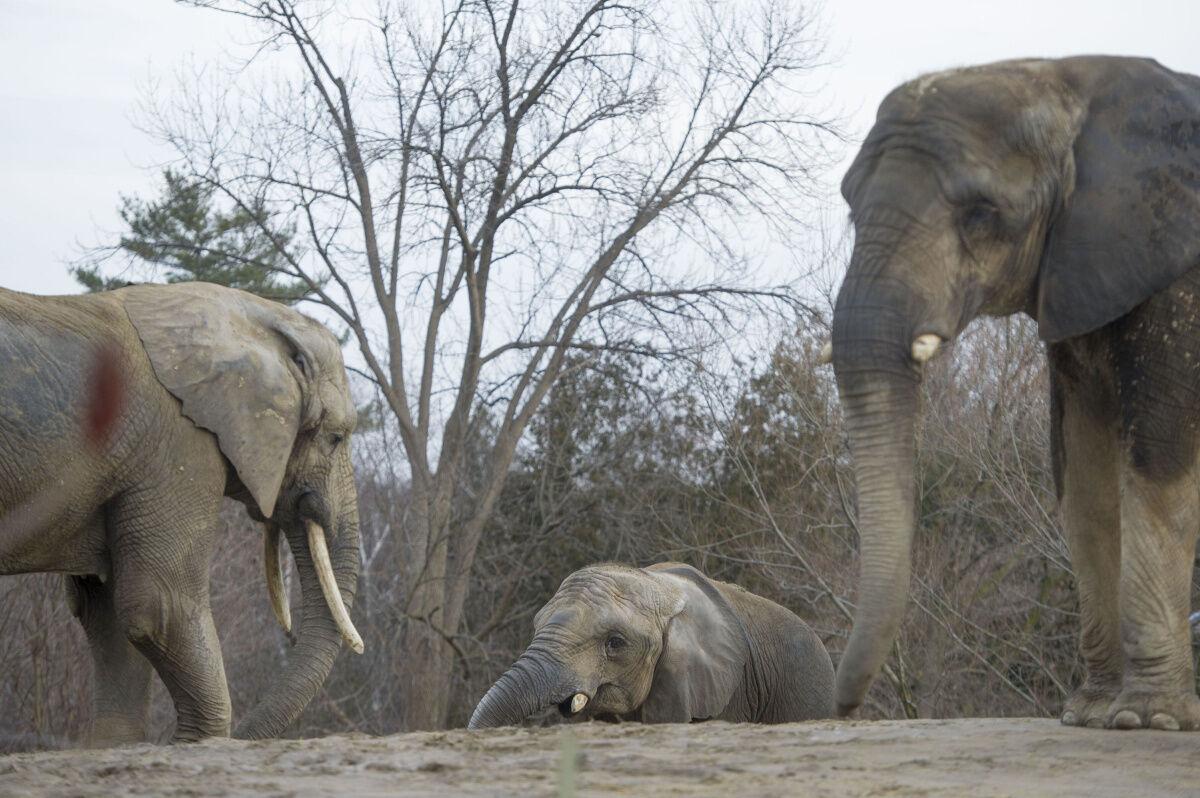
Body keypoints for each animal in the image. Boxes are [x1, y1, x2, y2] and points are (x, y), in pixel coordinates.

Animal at [825, 56, 1200, 729]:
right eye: (849, 206)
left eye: (981, 214)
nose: (842, 709)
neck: (1071, 81)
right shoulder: (1082, 276)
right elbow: (1083, 477)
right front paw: (1090, 715)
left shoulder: (1178, 285)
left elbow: (1158, 459)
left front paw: (1148, 720)